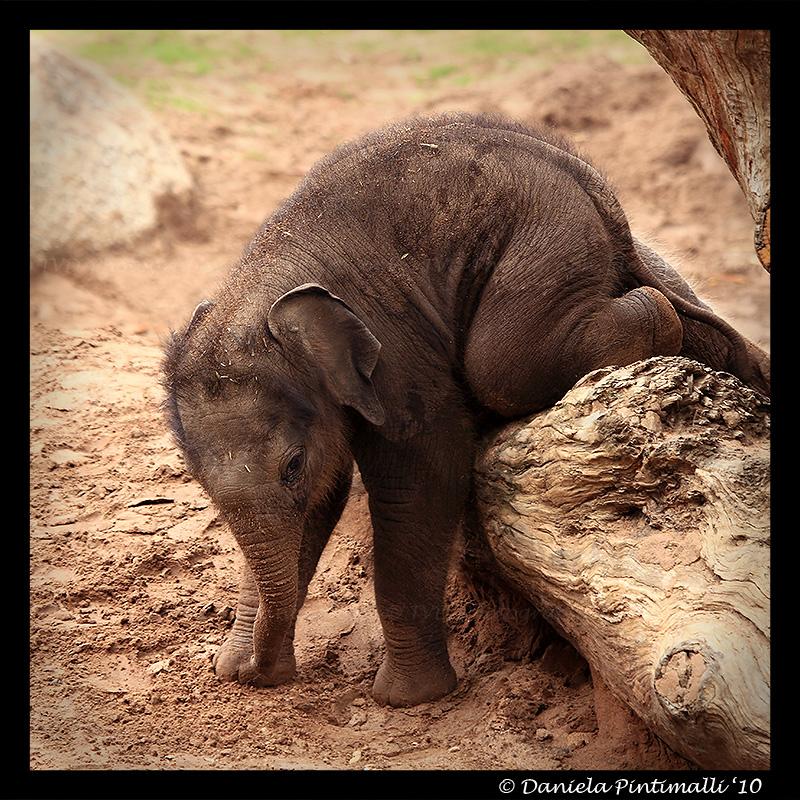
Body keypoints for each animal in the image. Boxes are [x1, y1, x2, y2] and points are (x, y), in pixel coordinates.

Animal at [163, 112, 769, 708]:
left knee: (501, 363)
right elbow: (320, 500)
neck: (262, 291)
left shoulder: (395, 350)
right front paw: (234, 667)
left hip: (546, 240)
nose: (257, 674)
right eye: (200, 482)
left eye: (291, 465)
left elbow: (417, 477)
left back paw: (656, 317)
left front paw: (407, 698)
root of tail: (581, 173)